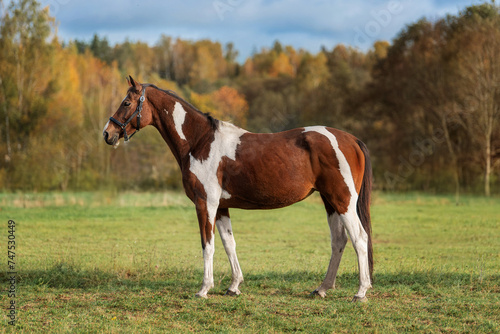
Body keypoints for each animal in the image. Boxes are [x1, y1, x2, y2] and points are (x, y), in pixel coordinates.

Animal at [102, 77, 376, 302]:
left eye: (126, 102)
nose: (108, 133)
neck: (200, 142)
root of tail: (351, 140)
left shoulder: (206, 203)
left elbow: (208, 244)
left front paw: (204, 289)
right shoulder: (222, 207)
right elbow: (228, 243)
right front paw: (234, 286)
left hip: (343, 201)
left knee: (359, 238)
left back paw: (360, 292)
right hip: (330, 202)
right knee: (339, 241)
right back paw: (322, 288)